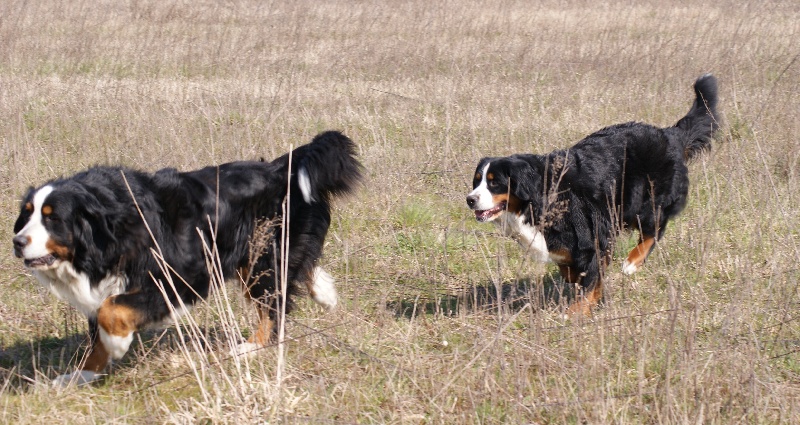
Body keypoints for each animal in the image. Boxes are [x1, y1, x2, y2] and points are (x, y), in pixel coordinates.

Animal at [11, 130, 362, 384]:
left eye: (53, 218)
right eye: (27, 214)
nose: (17, 242)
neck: (110, 228)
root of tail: (280, 168)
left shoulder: (175, 277)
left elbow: (113, 309)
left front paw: (117, 345)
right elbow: (98, 325)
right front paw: (80, 375)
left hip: (260, 255)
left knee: (272, 304)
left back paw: (250, 347)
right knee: (296, 271)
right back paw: (325, 292)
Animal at [466, 73, 720, 314]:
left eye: (494, 183)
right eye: (477, 180)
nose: (470, 199)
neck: (540, 196)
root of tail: (669, 134)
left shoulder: (592, 234)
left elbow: (590, 278)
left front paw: (576, 312)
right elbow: (573, 271)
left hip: (646, 202)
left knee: (654, 230)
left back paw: (632, 262)